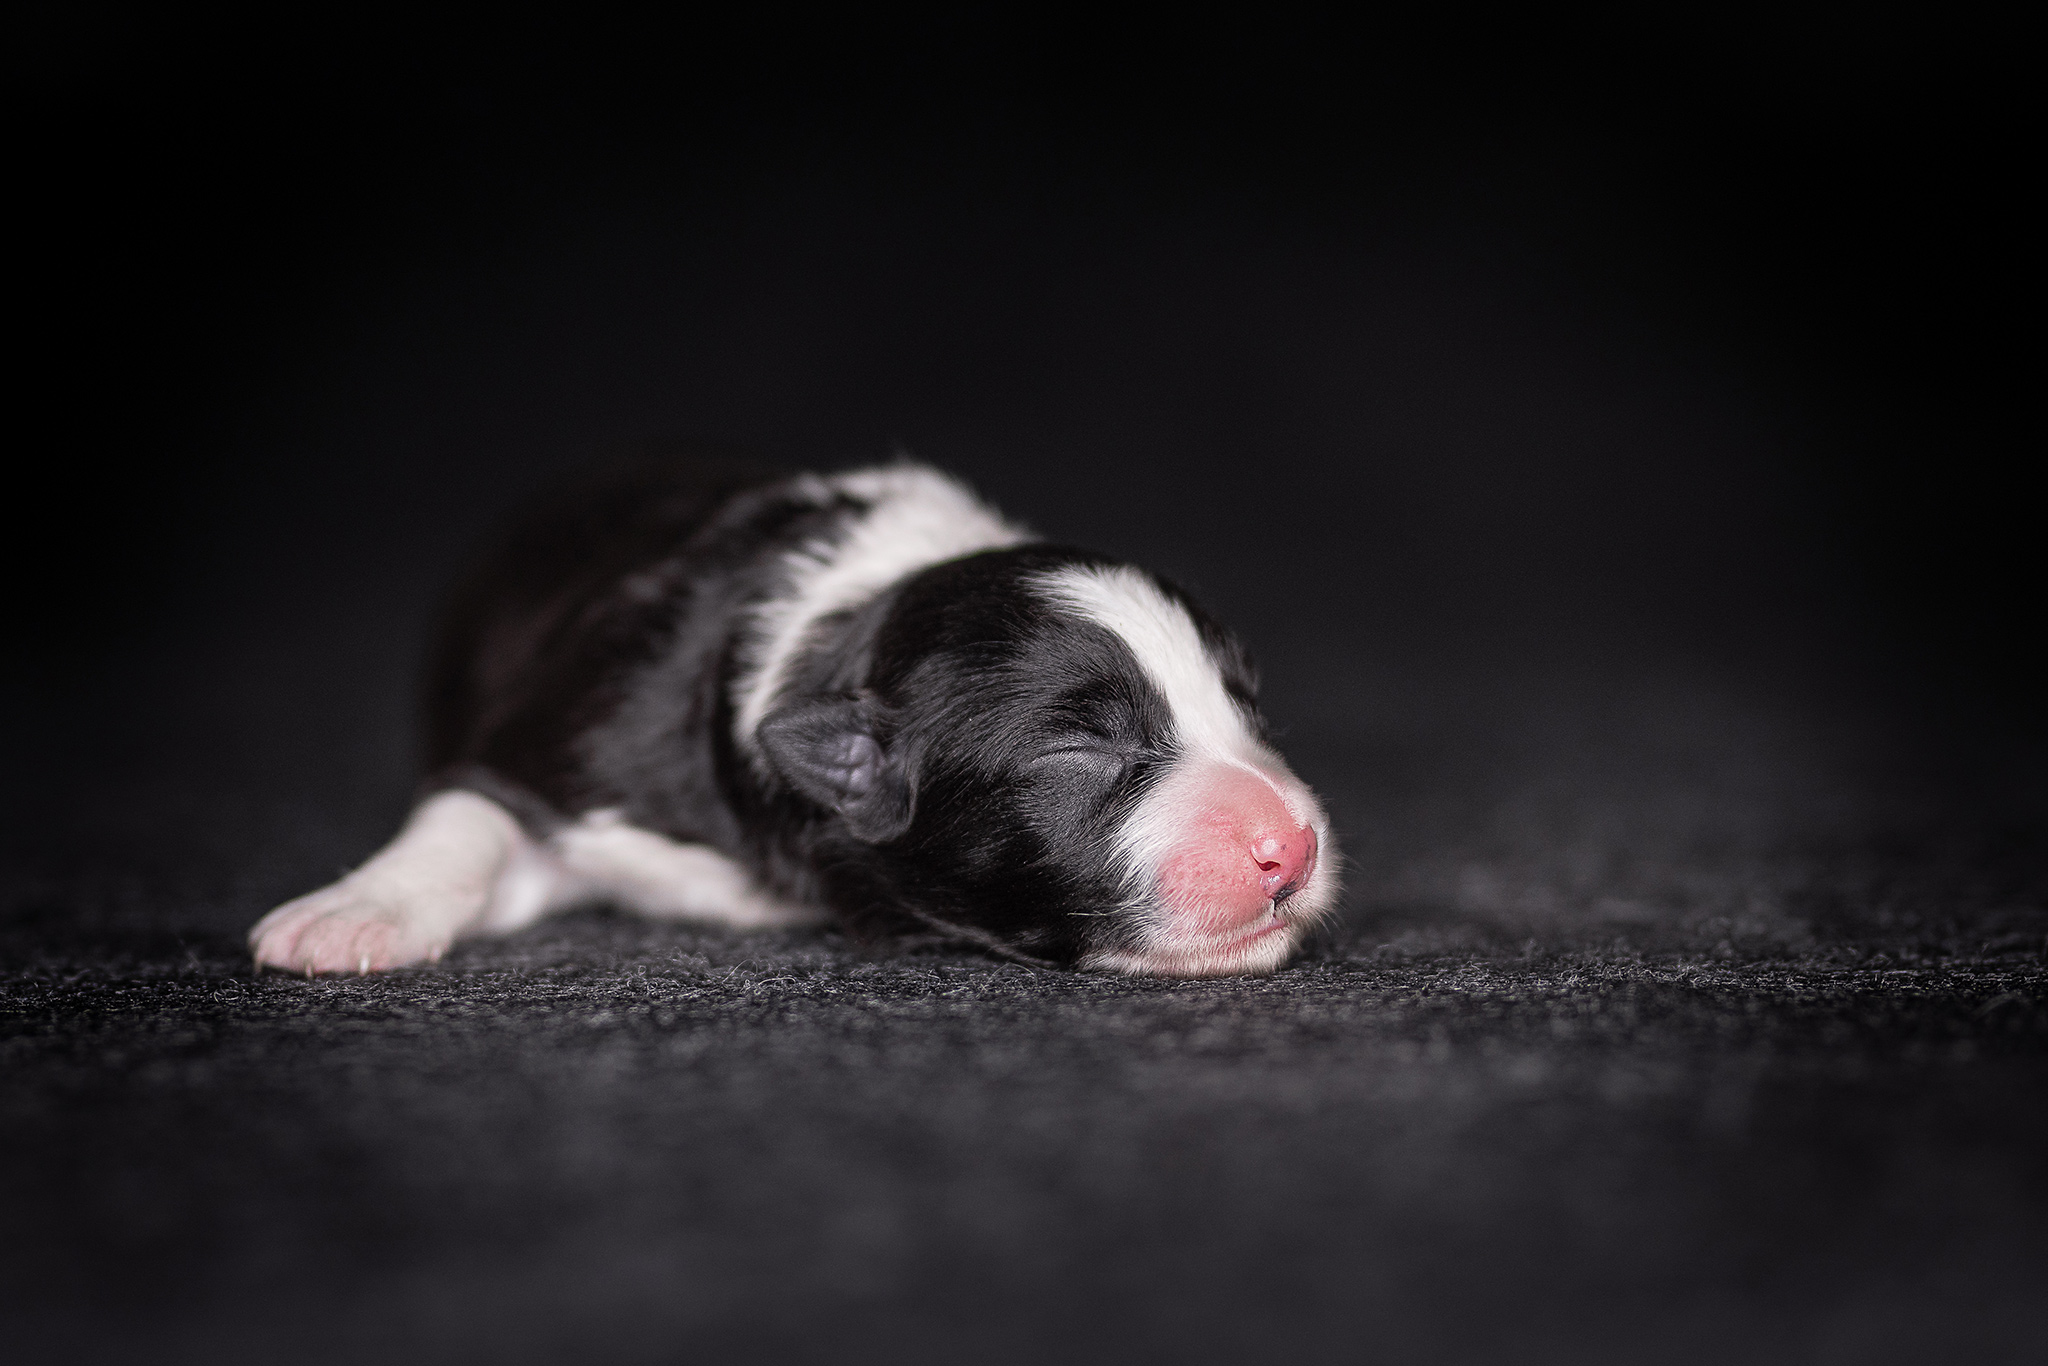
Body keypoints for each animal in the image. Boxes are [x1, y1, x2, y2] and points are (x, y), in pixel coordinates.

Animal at [247, 464, 1335, 978]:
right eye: (1080, 747)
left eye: (1245, 705)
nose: (1293, 846)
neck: (839, 630)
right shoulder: (576, 740)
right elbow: (469, 813)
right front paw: (354, 912)